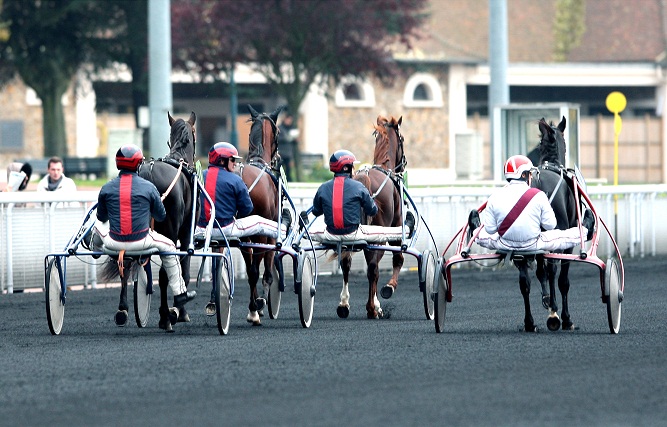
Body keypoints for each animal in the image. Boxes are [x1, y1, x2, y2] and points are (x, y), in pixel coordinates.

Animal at [342, 115, 410, 320]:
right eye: (403, 138)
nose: (404, 163)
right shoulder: (395, 226)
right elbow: (398, 258)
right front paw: (388, 289)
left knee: (346, 263)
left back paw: (344, 304)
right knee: (373, 267)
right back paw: (372, 308)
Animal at [520, 118, 580, 334]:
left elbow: (540, 273)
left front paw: (546, 300)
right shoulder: (567, 241)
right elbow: (562, 280)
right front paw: (565, 318)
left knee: (525, 279)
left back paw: (530, 322)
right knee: (554, 271)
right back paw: (555, 313)